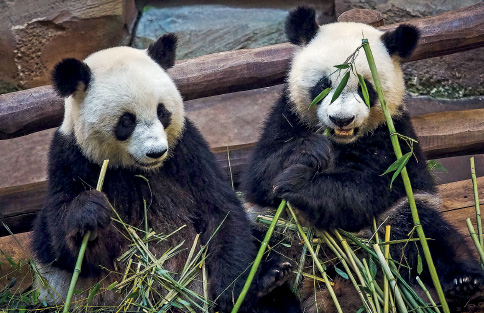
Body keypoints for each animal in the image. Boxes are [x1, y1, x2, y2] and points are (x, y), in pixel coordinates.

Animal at [30, 33, 298, 310]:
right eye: (126, 121)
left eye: (162, 112)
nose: (156, 152)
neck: (137, 170)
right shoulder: (70, 161)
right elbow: (58, 244)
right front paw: (90, 211)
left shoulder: (187, 151)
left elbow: (220, 211)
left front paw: (235, 291)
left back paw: (271, 276)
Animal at [244, 6, 484, 310]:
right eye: (324, 85)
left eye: (365, 88)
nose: (341, 119)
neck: (341, 142)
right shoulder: (286, 115)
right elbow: (260, 175)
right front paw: (309, 152)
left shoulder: (392, 137)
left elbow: (366, 186)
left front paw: (297, 184)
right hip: (276, 228)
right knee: (242, 242)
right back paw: (269, 276)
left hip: (395, 222)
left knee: (431, 235)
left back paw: (464, 282)